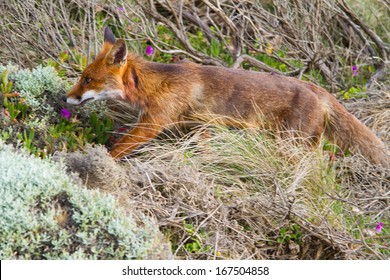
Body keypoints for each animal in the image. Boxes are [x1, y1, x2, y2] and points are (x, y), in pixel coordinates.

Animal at [63, 26, 386, 165]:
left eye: (87, 79)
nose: (66, 98)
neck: (156, 84)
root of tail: (318, 89)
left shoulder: (152, 124)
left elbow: (117, 148)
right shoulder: (200, 127)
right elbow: (205, 151)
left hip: (291, 144)